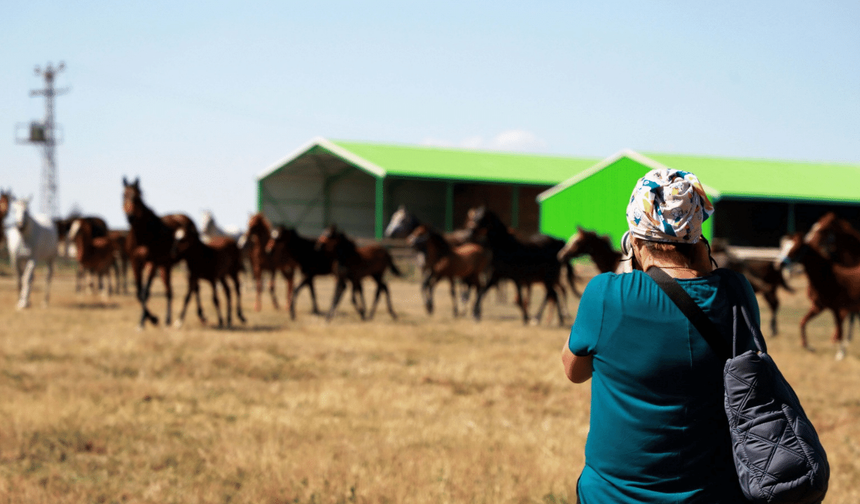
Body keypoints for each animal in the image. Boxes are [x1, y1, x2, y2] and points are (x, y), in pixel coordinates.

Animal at [122, 176, 197, 326]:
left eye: (137, 197)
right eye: (123, 195)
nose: (130, 217)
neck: (142, 236)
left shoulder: (152, 263)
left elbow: (145, 292)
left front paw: (150, 320)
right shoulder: (135, 262)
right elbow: (139, 293)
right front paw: (148, 319)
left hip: (190, 260)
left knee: (193, 286)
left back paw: (195, 316)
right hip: (166, 266)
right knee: (170, 291)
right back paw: (168, 319)